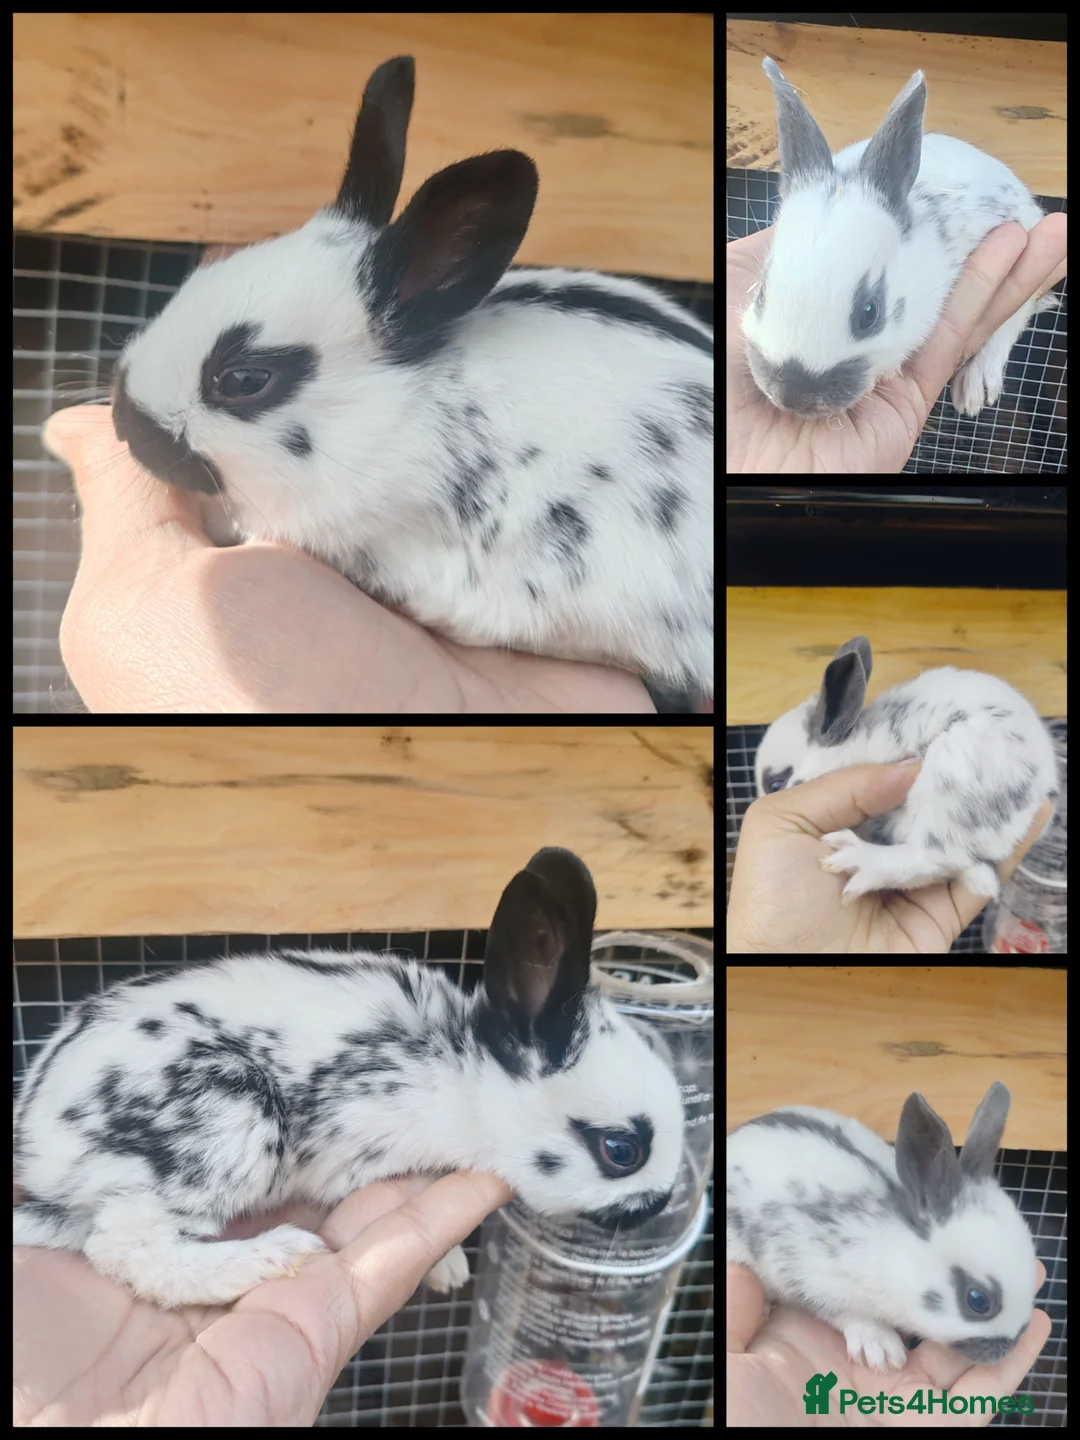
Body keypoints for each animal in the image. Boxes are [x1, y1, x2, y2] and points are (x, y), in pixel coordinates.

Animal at [12, 847, 684, 1309]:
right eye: (621, 1150)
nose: (660, 1204)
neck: (465, 1074)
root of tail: (38, 1157)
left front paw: (446, 1272)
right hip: (227, 1119)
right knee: (126, 1249)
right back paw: (273, 1258)